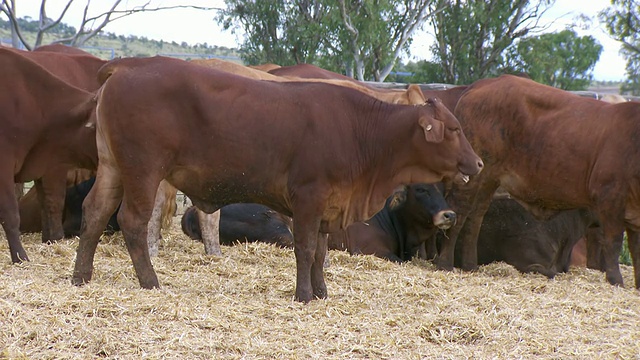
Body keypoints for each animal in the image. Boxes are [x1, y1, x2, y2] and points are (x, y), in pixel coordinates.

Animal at [72, 56, 482, 302]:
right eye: (454, 129)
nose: (478, 163)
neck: (361, 134)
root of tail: (129, 65)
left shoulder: (328, 205)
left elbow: (320, 252)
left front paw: (321, 292)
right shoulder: (308, 199)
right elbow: (305, 248)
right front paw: (304, 294)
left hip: (112, 167)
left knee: (94, 212)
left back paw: (81, 276)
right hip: (143, 170)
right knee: (132, 221)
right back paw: (150, 281)